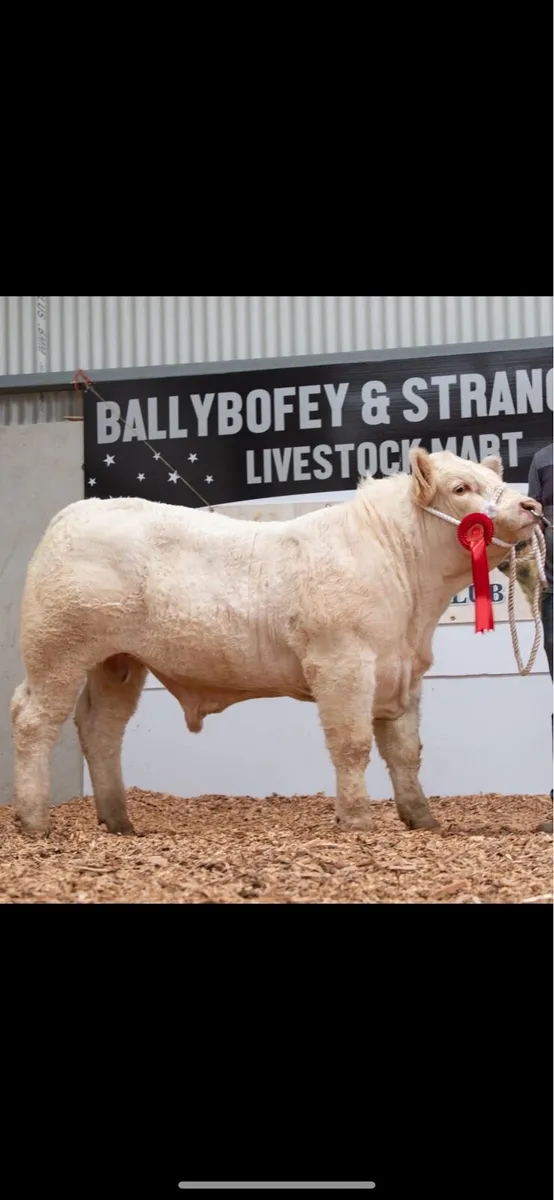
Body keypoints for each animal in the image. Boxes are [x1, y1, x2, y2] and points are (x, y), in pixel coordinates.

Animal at [10, 448, 543, 839]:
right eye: (461, 488)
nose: (533, 506)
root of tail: (76, 513)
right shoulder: (342, 664)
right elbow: (352, 745)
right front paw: (358, 820)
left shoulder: (404, 670)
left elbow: (406, 751)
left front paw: (422, 819)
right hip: (57, 648)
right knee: (34, 720)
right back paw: (34, 820)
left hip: (119, 660)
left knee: (101, 728)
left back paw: (119, 822)